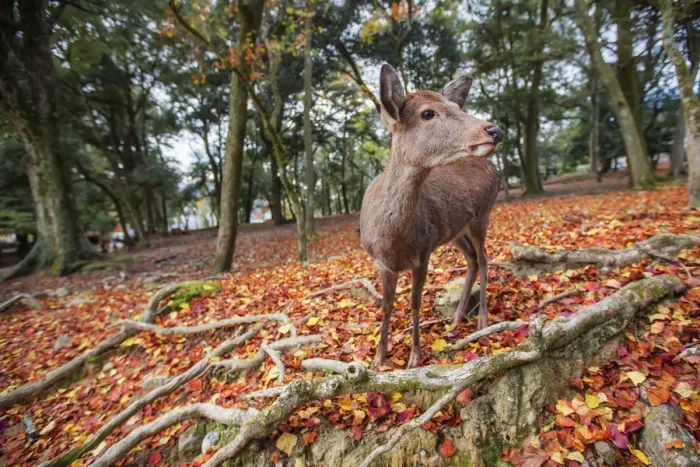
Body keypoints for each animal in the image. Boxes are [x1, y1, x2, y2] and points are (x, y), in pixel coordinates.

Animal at [360, 64, 502, 369]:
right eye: (427, 113)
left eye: (456, 106)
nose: (495, 130)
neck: (392, 240)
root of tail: (496, 171)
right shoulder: (381, 263)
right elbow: (386, 306)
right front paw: (378, 358)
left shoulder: (422, 253)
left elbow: (415, 302)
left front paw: (414, 356)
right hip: (455, 231)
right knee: (472, 259)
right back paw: (457, 317)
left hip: (482, 215)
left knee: (485, 258)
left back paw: (482, 320)